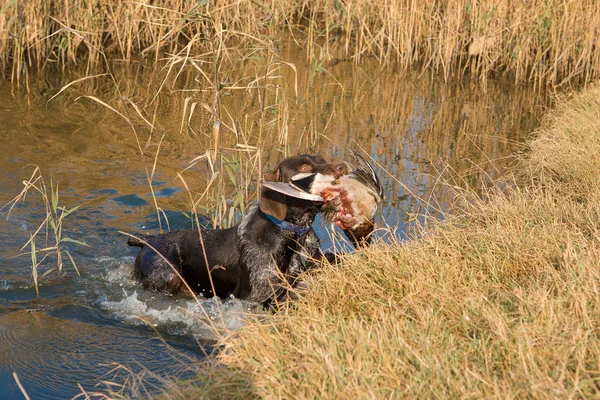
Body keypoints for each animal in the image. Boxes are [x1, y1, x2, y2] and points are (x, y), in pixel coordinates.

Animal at [129, 155, 350, 304]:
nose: (342, 166)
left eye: (322, 159)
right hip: (168, 276)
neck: (292, 233)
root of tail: (147, 240)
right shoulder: (254, 297)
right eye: (304, 166)